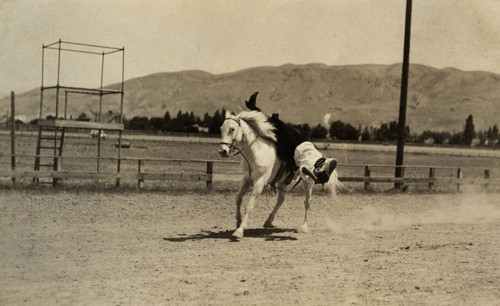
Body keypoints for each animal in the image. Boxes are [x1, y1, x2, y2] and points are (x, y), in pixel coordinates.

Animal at [219, 110, 340, 239]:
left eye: (232, 129)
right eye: (221, 128)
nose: (222, 151)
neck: (257, 152)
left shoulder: (259, 183)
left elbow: (249, 206)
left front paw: (240, 230)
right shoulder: (247, 179)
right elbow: (238, 198)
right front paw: (238, 222)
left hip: (307, 180)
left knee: (307, 202)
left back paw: (304, 227)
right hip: (283, 181)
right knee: (281, 199)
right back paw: (268, 221)